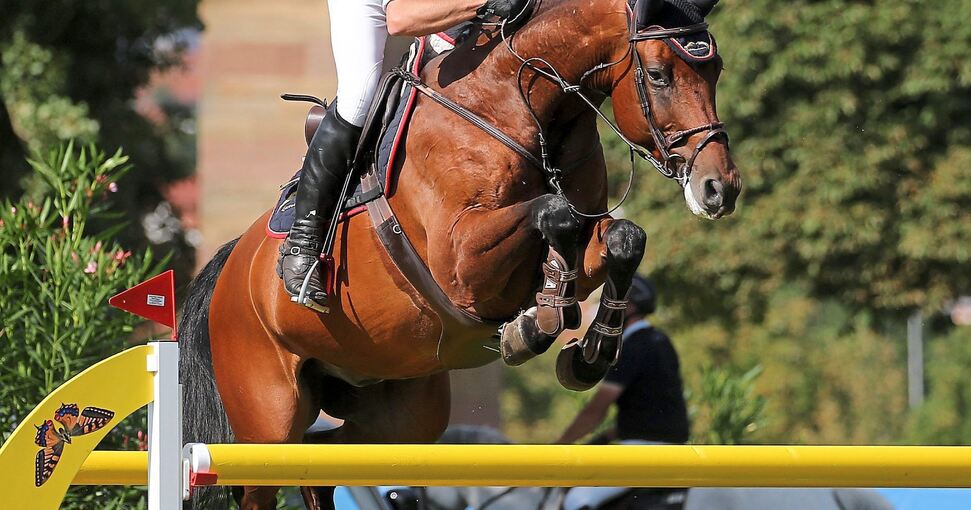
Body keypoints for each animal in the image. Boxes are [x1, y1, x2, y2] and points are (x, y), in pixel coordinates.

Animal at [182, 0, 740, 508]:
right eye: (659, 75)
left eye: (715, 71)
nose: (720, 188)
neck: (517, 106)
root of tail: (230, 266)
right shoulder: (462, 264)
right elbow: (553, 211)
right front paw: (538, 323)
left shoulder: (584, 236)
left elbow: (623, 237)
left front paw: (585, 348)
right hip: (268, 414)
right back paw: (301, 268)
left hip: (400, 415)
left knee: (323, 457)